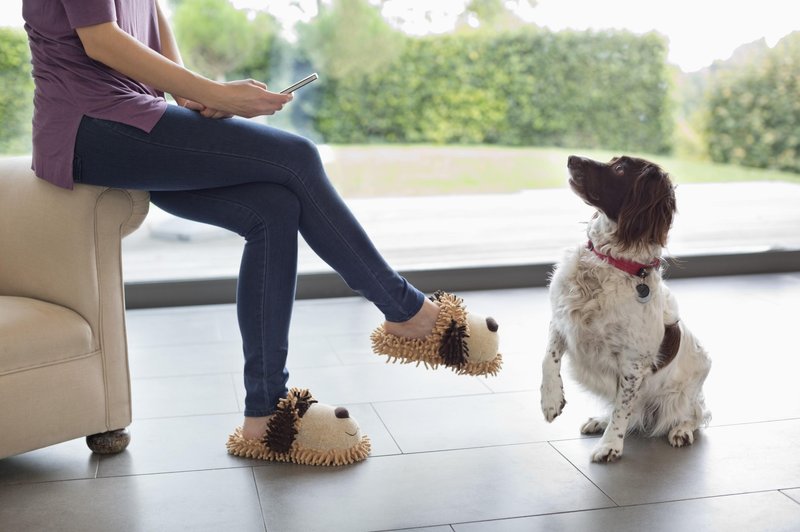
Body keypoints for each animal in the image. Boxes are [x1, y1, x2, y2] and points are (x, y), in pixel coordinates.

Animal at [540, 154, 708, 462]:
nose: (571, 158)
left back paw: (681, 430)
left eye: (619, 169)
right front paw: (551, 401)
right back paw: (599, 421)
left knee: (695, 413)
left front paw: (610, 446)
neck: (610, 261)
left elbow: (623, 408)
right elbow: (548, 358)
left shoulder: (634, 361)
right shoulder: (561, 319)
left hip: (683, 393)